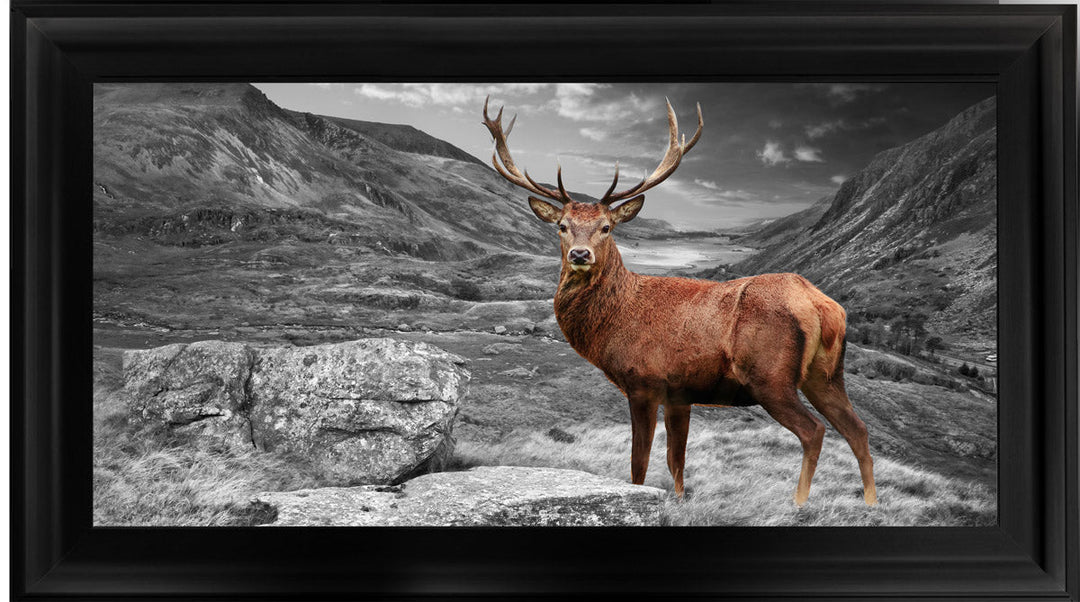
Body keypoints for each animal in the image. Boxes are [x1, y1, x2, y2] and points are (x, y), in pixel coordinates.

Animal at [481, 97, 877, 507]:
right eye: (562, 226)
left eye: (606, 227)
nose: (579, 254)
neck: (614, 323)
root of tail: (822, 306)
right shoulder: (680, 395)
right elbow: (677, 462)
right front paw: (681, 500)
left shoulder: (644, 382)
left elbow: (639, 464)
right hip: (826, 375)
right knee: (858, 429)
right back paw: (871, 503)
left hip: (771, 377)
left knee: (814, 430)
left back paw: (798, 503)